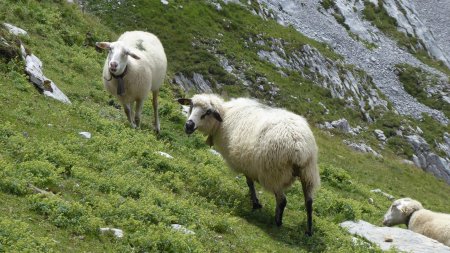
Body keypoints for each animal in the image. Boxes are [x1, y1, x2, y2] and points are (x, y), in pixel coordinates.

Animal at [178, 94, 322, 236]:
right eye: (191, 105)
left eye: (208, 112)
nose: (189, 125)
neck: (223, 117)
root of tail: (299, 146)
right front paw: (255, 203)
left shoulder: (246, 165)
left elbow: (250, 183)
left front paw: (255, 203)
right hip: (308, 172)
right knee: (309, 202)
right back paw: (309, 230)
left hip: (274, 173)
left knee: (282, 200)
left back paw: (277, 222)